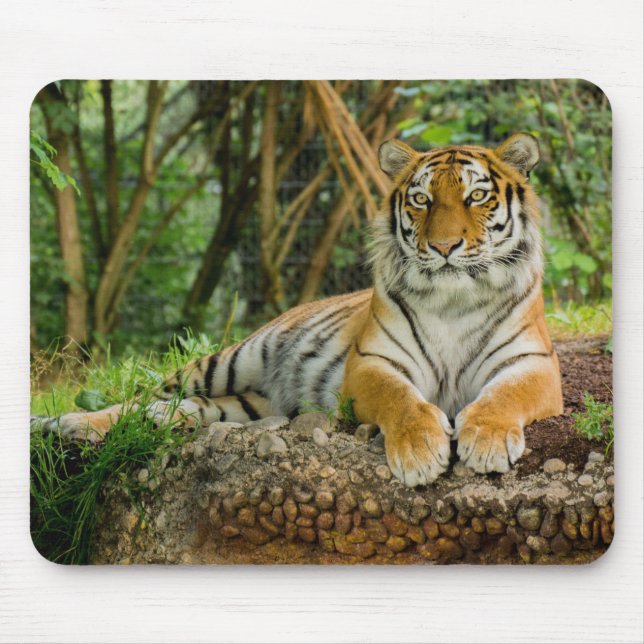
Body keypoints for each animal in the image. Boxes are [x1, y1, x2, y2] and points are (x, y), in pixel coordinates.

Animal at [37, 133, 563, 488]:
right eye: (421, 199)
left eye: (477, 196)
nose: (444, 246)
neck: (453, 300)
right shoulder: (371, 364)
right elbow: (402, 399)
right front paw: (419, 452)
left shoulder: (532, 364)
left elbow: (504, 396)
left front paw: (488, 440)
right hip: (228, 360)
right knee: (139, 397)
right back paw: (69, 424)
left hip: (247, 403)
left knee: (176, 408)